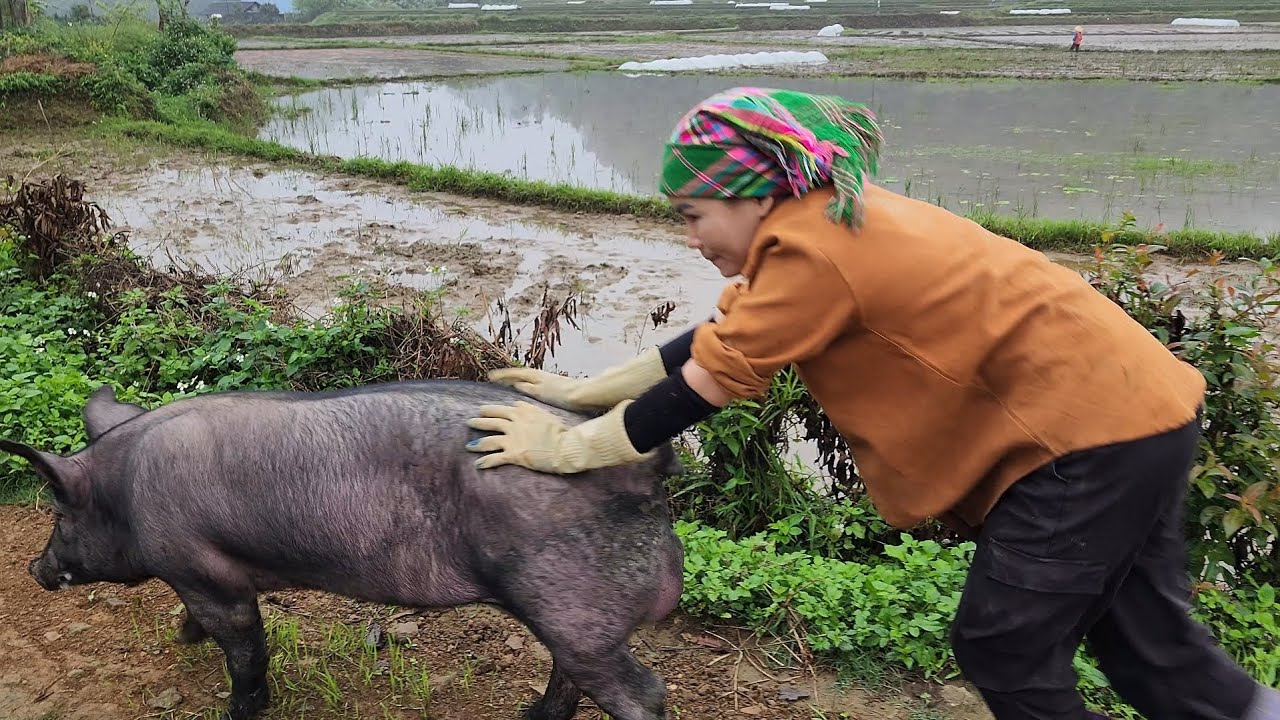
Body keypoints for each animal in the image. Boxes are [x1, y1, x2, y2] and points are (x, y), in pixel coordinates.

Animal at [0, 380, 686, 720]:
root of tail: (644, 467)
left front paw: (238, 710)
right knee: (569, 678)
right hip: (573, 618)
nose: (34, 568)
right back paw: (528, 715)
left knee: (643, 693)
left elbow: (245, 651)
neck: (126, 492)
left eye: (59, 515)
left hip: (570, 603)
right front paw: (183, 638)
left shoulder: (206, 572)